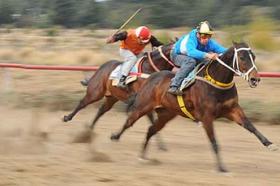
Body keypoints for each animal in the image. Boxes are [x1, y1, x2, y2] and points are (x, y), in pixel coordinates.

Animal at [111, 41, 278, 171]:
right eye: (242, 57)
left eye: (254, 57)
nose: (255, 79)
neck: (217, 82)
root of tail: (150, 78)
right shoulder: (206, 117)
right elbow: (214, 141)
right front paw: (221, 168)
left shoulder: (232, 109)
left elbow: (250, 126)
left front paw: (270, 144)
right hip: (143, 106)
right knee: (129, 121)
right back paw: (115, 137)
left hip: (166, 114)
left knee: (151, 129)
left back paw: (142, 156)